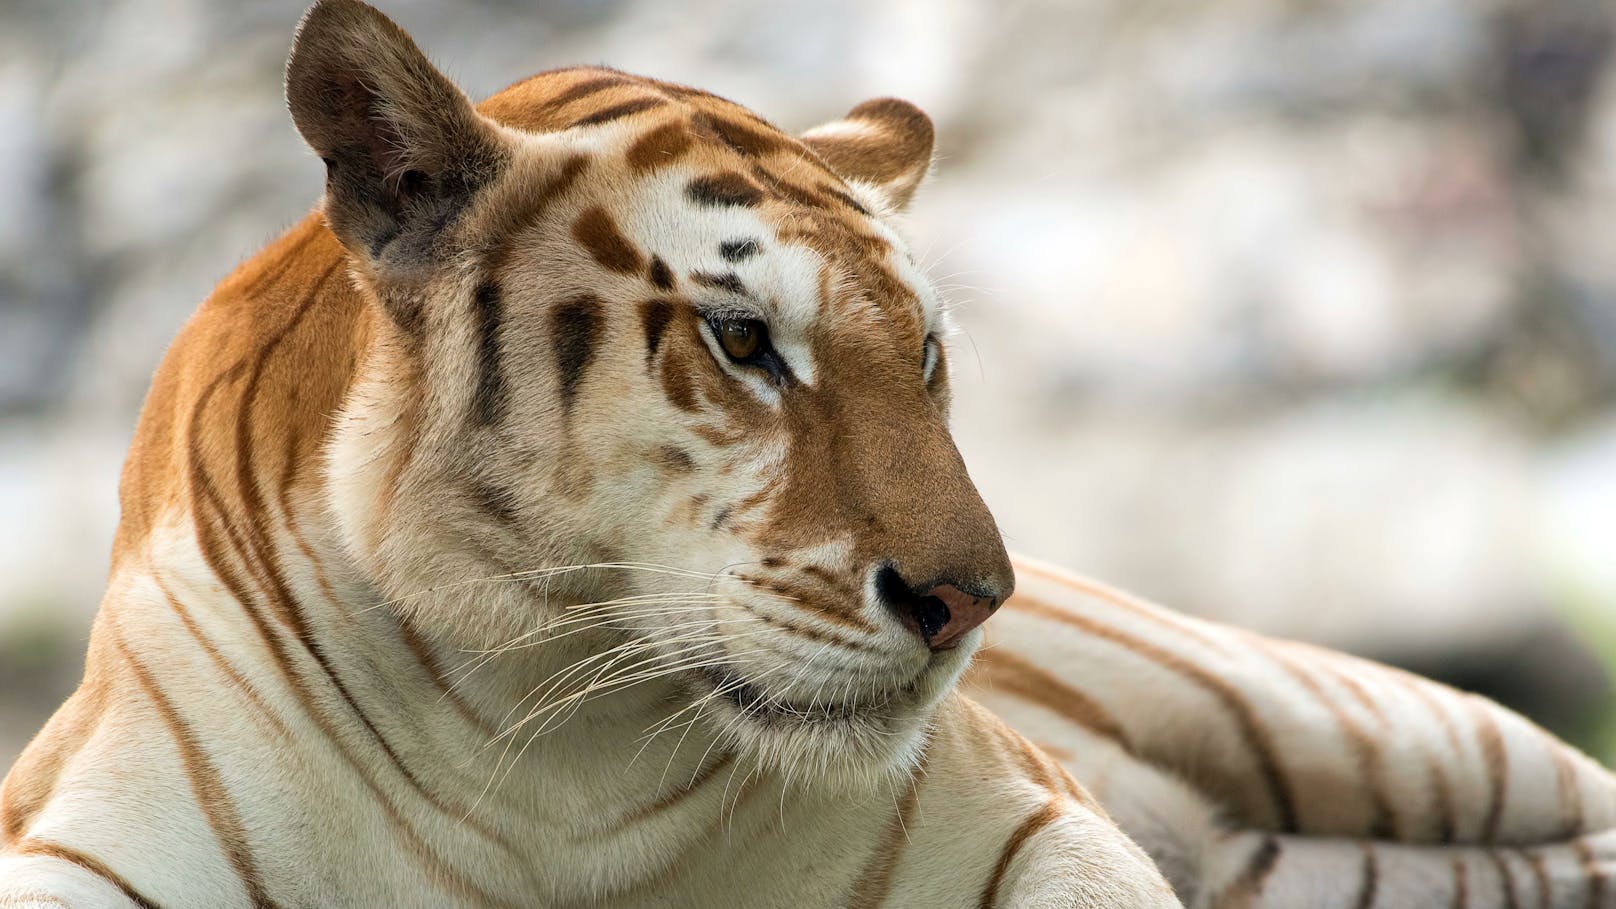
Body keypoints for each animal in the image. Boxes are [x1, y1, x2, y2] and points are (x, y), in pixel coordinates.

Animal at [0, 1, 1609, 905]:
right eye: (743, 341)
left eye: (929, 356)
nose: (971, 604)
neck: (535, 743)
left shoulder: (1045, 828)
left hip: (1367, 725)